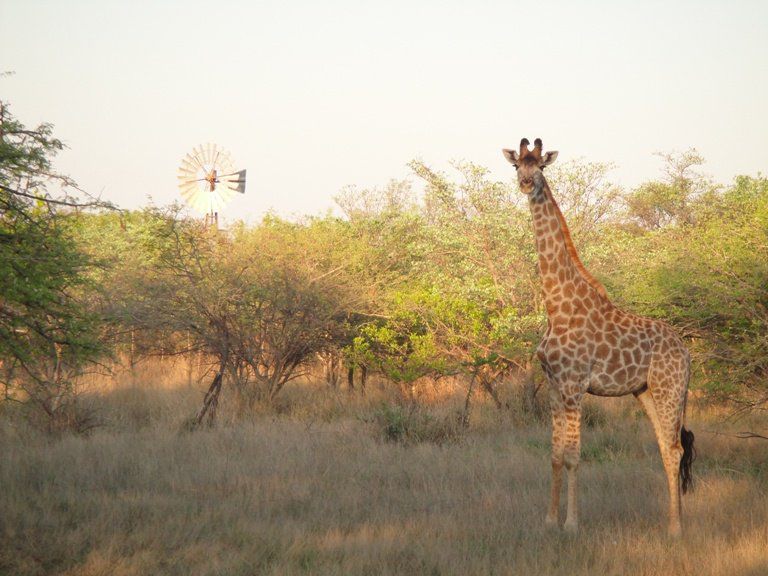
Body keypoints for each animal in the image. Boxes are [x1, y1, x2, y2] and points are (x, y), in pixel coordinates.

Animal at [504, 137, 696, 536]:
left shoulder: (575, 385)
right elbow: (555, 455)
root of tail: (686, 352)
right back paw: (670, 521)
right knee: (666, 446)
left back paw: (676, 528)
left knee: (676, 448)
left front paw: (572, 525)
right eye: (517, 166)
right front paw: (549, 520)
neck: (556, 305)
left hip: (671, 388)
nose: (526, 184)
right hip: (645, 391)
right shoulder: (554, 386)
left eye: (540, 166)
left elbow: (574, 456)